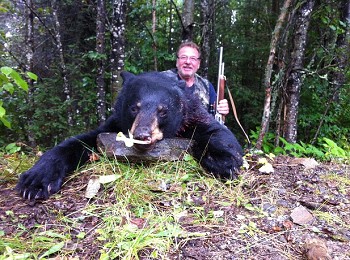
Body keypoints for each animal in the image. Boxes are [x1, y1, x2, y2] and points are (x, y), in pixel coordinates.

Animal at [16, 72, 243, 200]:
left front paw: (224, 162)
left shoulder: (192, 114)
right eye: (135, 107)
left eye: (162, 111)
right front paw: (35, 181)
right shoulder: (114, 123)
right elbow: (79, 142)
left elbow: (217, 132)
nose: (142, 134)